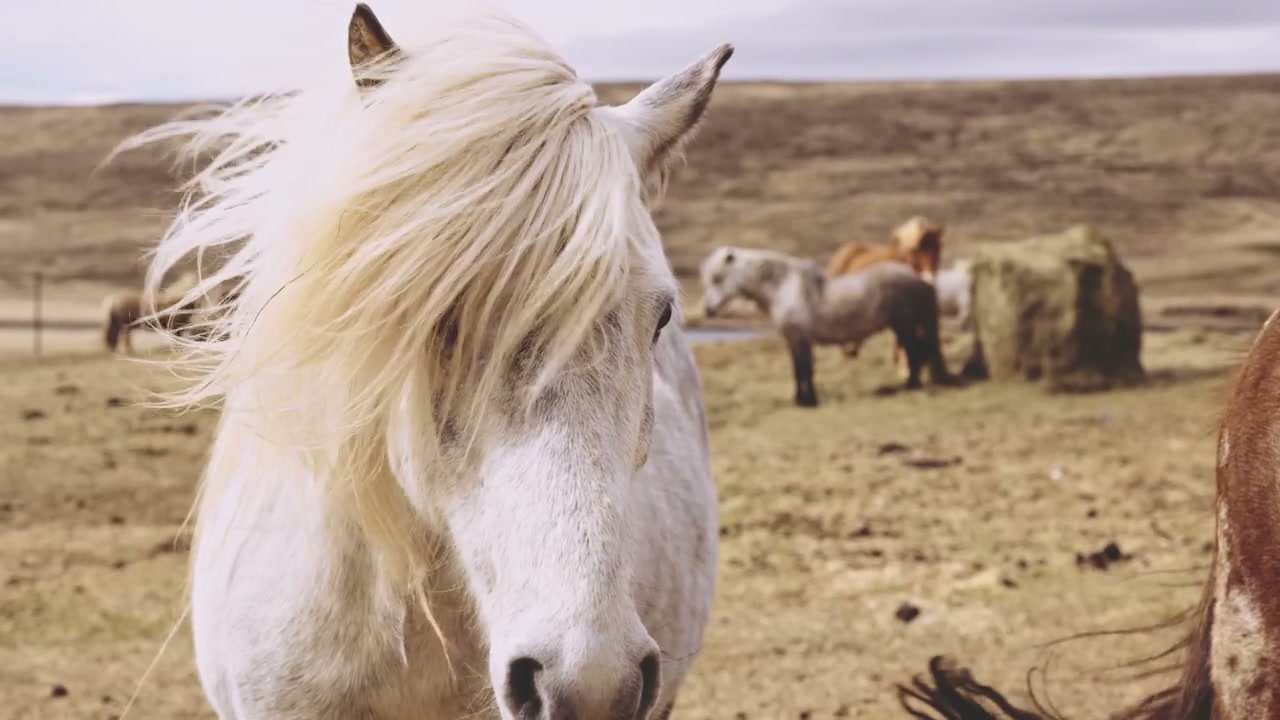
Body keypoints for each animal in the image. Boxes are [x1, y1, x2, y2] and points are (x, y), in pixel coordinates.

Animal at [699, 246, 954, 407]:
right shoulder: (793, 340)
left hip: (904, 325)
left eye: (718, 277)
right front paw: (801, 400)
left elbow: (805, 370)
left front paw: (809, 401)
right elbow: (798, 370)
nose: (708, 310)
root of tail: (919, 278)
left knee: (914, 350)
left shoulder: (801, 338)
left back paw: (911, 385)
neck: (785, 288)